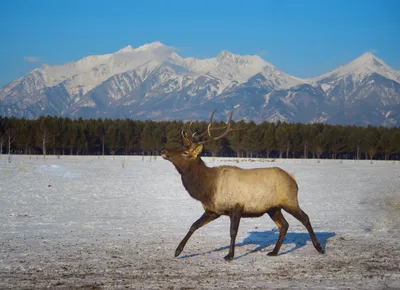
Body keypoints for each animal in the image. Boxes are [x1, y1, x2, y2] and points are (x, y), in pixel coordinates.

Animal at [161, 111, 324, 260]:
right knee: (284, 225)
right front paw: (177, 251)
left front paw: (230, 255)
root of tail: (293, 179)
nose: (164, 150)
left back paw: (319, 248)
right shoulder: (213, 210)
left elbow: (233, 232)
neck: (207, 189)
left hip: (289, 200)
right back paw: (274, 252)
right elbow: (193, 225)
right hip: (273, 208)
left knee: (305, 218)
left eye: (185, 151)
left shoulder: (236, 207)